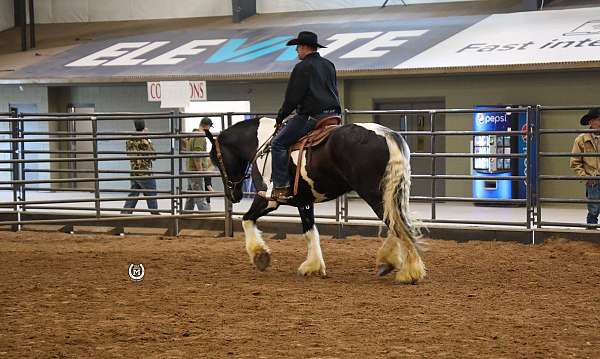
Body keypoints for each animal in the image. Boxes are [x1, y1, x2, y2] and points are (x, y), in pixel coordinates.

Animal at [206, 116, 426, 284]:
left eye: (217, 159)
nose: (233, 195)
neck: (263, 145)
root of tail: (387, 135)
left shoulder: (268, 200)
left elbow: (246, 219)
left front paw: (260, 255)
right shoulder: (304, 201)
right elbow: (310, 231)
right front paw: (312, 265)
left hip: (374, 194)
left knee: (397, 225)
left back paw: (409, 272)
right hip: (390, 193)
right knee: (397, 223)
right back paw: (389, 262)